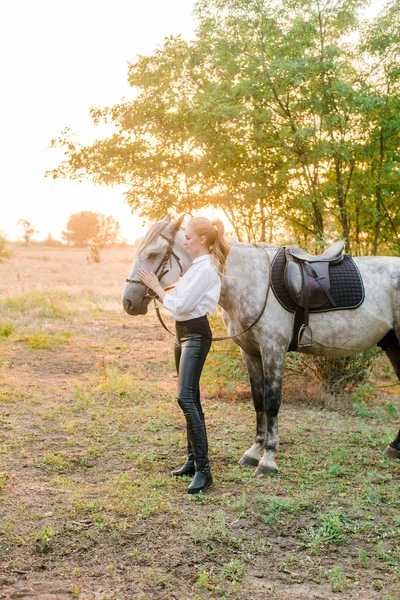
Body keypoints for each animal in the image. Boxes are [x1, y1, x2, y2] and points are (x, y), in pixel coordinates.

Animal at [121, 216, 400, 474]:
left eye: (153, 254)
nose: (128, 302)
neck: (248, 280)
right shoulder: (250, 352)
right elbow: (258, 401)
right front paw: (254, 452)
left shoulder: (273, 350)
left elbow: (272, 402)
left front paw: (268, 459)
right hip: (392, 344)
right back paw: (394, 448)